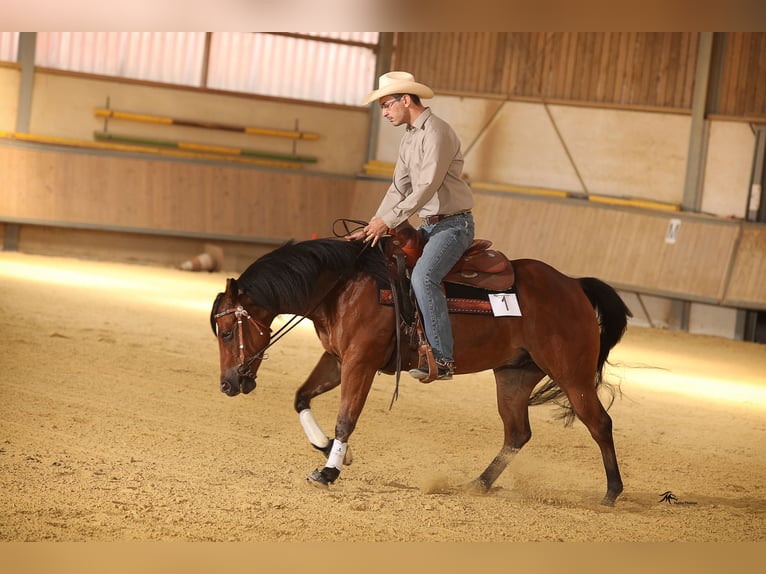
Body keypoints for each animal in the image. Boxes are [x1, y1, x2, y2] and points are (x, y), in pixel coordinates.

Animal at [213, 236, 632, 506]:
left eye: (228, 330)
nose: (228, 384)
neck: (343, 287)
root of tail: (572, 285)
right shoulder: (336, 358)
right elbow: (301, 397)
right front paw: (328, 449)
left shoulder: (360, 362)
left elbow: (346, 418)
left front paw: (329, 471)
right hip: (514, 375)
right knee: (517, 433)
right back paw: (478, 483)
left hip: (572, 374)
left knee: (599, 423)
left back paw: (612, 491)